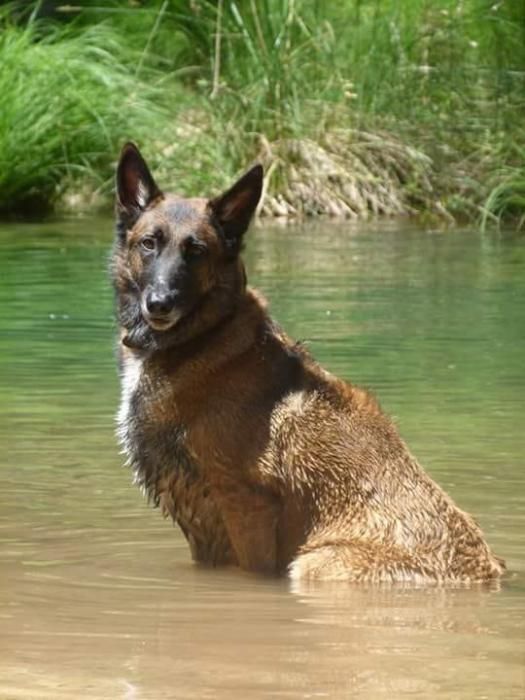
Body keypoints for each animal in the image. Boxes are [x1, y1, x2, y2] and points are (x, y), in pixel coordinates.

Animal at [111, 144, 504, 584]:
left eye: (196, 252)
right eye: (149, 244)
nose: (160, 303)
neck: (203, 335)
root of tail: (488, 573)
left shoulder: (245, 504)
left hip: (314, 563)